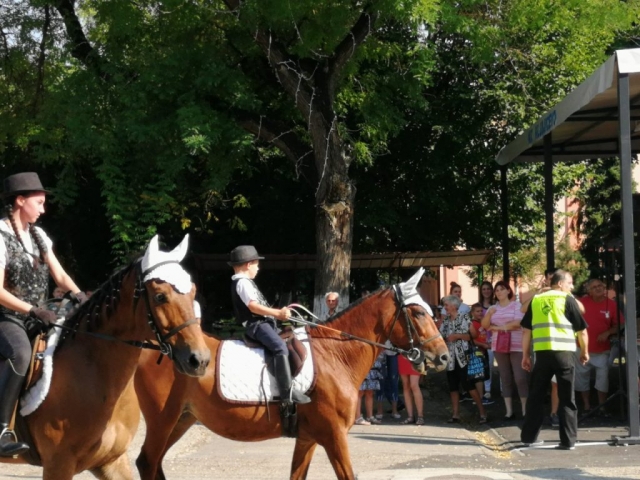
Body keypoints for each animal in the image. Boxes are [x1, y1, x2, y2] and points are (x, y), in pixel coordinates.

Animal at [132, 268, 448, 478]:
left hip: (181, 420)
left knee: (153, 463)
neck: (335, 354)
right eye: (419, 313)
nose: (443, 357)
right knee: (147, 462)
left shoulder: (308, 438)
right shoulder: (334, 436)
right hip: (162, 420)